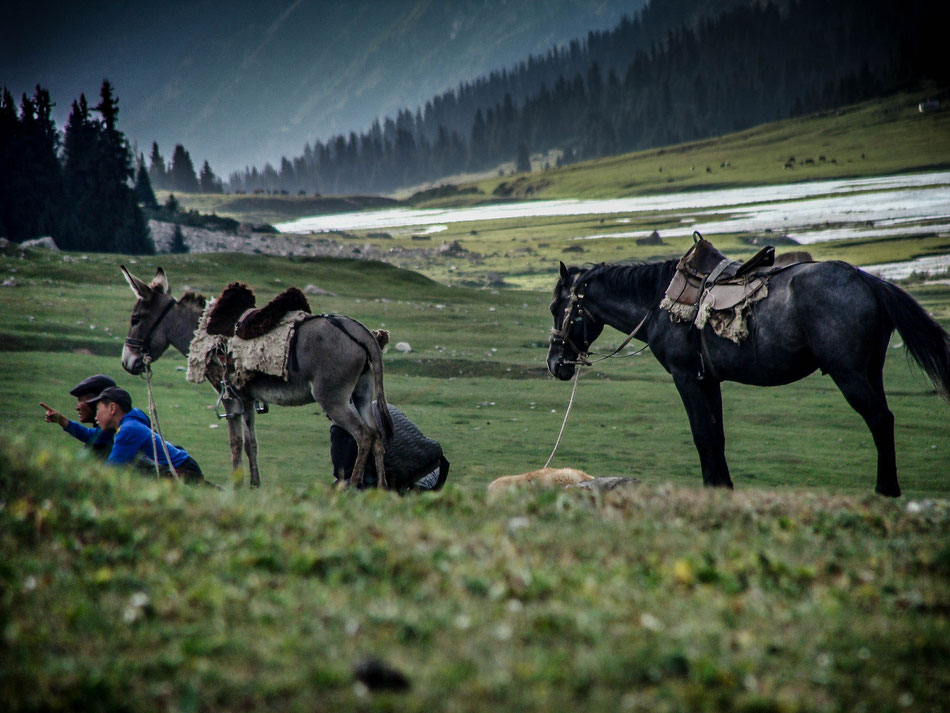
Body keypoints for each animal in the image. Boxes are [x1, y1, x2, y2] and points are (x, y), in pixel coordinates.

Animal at [120, 268, 394, 490]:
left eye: (136, 319)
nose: (126, 363)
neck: (204, 334)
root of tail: (362, 332)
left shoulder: (229, 398)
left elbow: (235, 441)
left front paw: (236, 484)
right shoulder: (248, 399)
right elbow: (251, 442)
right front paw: (254, 484)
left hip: (333, 399)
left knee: (363, 435)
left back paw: (352, 487)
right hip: (362, 394)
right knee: (377, 434)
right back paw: (381, 489)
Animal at [548, 258, 950, 498]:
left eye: (556, 308)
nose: (555, 363)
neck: (659, 303)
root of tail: (867, 281)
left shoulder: (685, 377)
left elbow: (702, 435)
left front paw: (713, 488)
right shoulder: (708, 379)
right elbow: (716, 436)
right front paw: (723, 488)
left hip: (849, 374)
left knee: (879, 419)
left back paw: (886, 490)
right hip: (871, 371)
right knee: (884, 419)